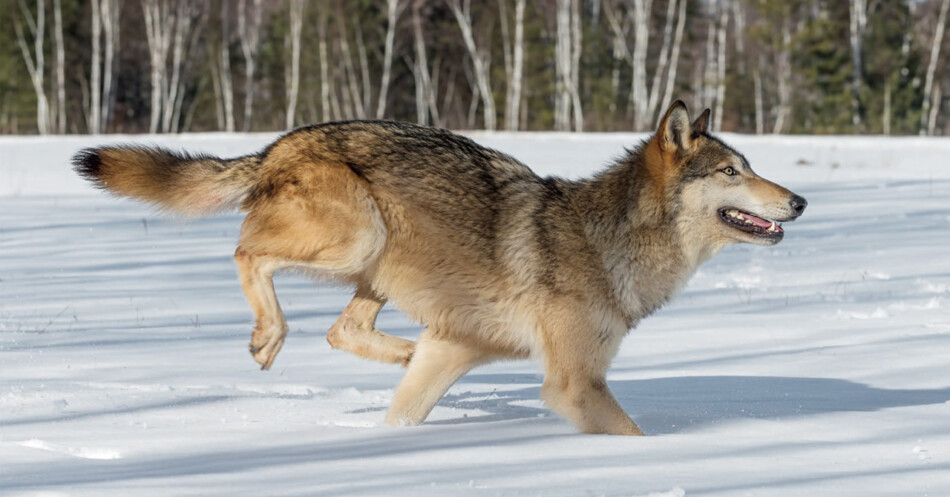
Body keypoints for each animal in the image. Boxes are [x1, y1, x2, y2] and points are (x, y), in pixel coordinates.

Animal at [70, 101, 808, 434]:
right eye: (735, 172)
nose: (799, 201)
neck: (611, 242)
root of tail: (278, 143)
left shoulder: (456, 353)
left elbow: (402, 416)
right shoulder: (574, 385)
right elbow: (631, 434)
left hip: (380, 267)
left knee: (343, 329)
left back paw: (395, 349)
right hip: (357, 237)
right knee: (247, 251)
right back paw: (268, 336)